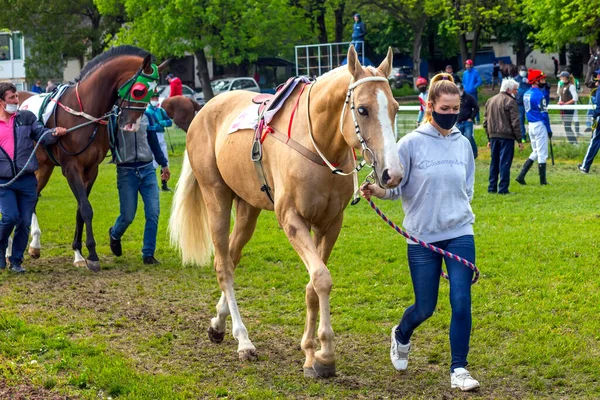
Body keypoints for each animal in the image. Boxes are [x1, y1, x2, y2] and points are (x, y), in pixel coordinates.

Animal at [17, 47, 168, 272]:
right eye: (139, 90)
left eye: (153, 92)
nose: (132, 125)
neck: (84, 113)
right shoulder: (71, 168)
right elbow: (86, 209)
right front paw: (93, 256)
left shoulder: (90, 169)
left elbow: (81, 209)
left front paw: (79, 254)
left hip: (43, 167)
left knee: (32, 198)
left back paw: (34, 245)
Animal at [169, 47, 404, 378]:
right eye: (363, 109)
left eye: (395, 108)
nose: (392, 174)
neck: (317, 144)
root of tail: (204, 110)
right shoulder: (292, 220)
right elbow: (321, 278)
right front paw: (325, 354)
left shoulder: (330, 224)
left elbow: (313, 285)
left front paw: (310, 353)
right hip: (216, 198)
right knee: (223, 267)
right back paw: (243, 340)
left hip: (248, 210)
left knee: (232, 256)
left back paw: (218, 324)